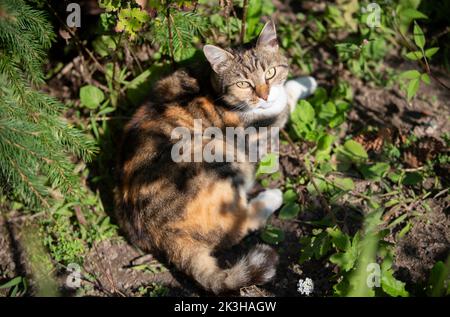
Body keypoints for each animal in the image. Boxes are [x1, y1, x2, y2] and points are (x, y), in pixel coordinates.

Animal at [116, 21, 316, 292]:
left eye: (271, 73)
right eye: (243, 84)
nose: (264, 95)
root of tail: (159, 235)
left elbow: (285, 92)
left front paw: (305, 82)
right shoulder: (261, 131)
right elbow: (285, 104)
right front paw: (305, 84)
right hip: (217, 153)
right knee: (237, 226)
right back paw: (271, 197)